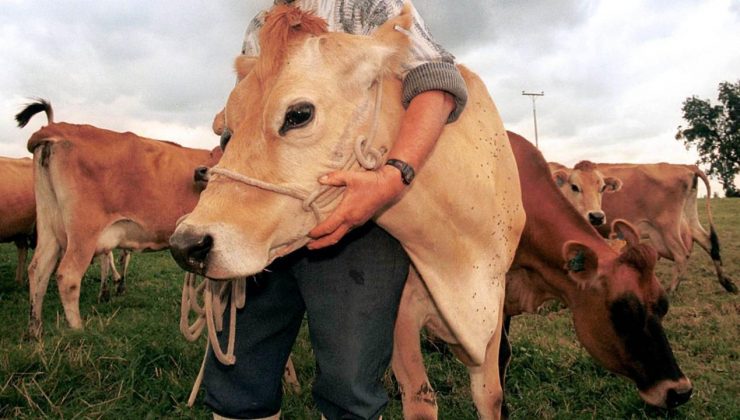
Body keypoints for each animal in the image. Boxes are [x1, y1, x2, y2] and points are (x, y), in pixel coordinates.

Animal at [15, 98, 221, 338]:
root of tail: (57, 129)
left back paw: (34, 330)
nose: (200, 172)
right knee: (67, 276)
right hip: (83, 233)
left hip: (49, 224)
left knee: (38, 269)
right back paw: (78, 330)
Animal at [548, 159, 736, 294]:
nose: (597, 216)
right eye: (574, 186)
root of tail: (684, 166)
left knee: (682, 254)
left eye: (602, 188)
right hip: (687, 219)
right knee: (709, 243)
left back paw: (671, 290)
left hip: (667, 227)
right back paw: (727, 283)